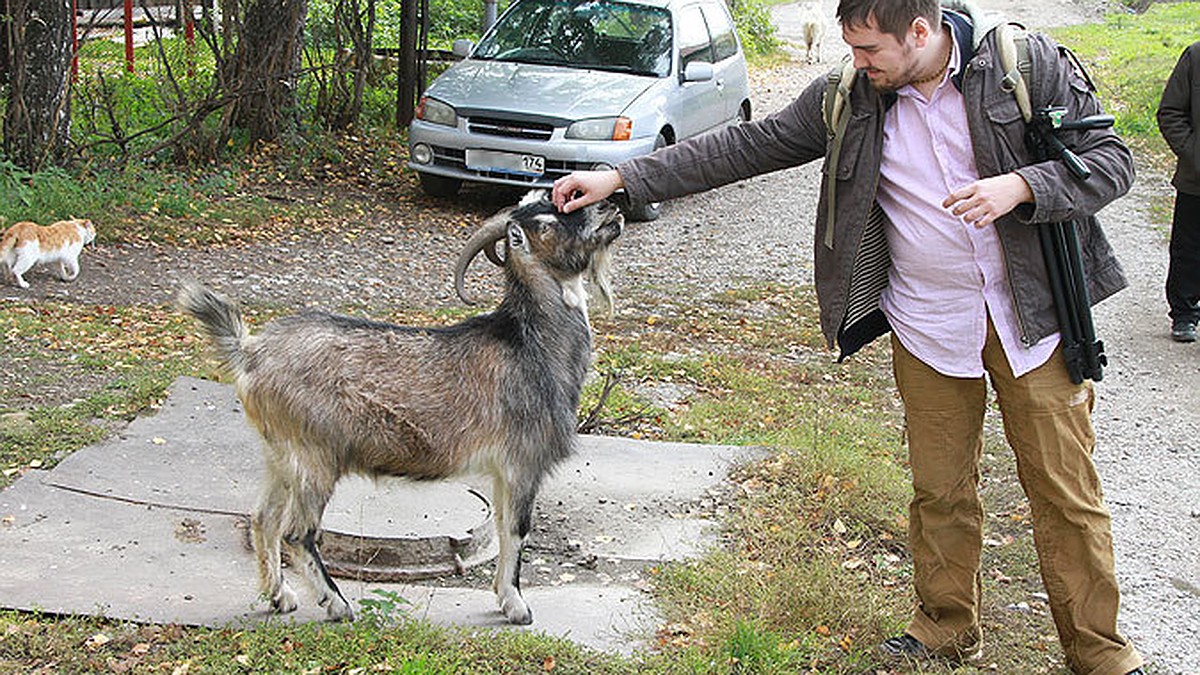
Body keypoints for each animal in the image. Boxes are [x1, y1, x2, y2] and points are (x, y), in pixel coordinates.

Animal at [180, 189, 628, 619]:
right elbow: (518, 530)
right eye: (548, 222)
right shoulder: (523, 460)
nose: (610, 207)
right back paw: (337, 604)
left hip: (280, 454)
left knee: (263, 519)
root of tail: (250, 353)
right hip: (314, 457)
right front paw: (517, 607)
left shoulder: (503, 470)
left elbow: (502, 527)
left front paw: (504, 597)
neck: (528, 345)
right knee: (296, 532)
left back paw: (280, 596)